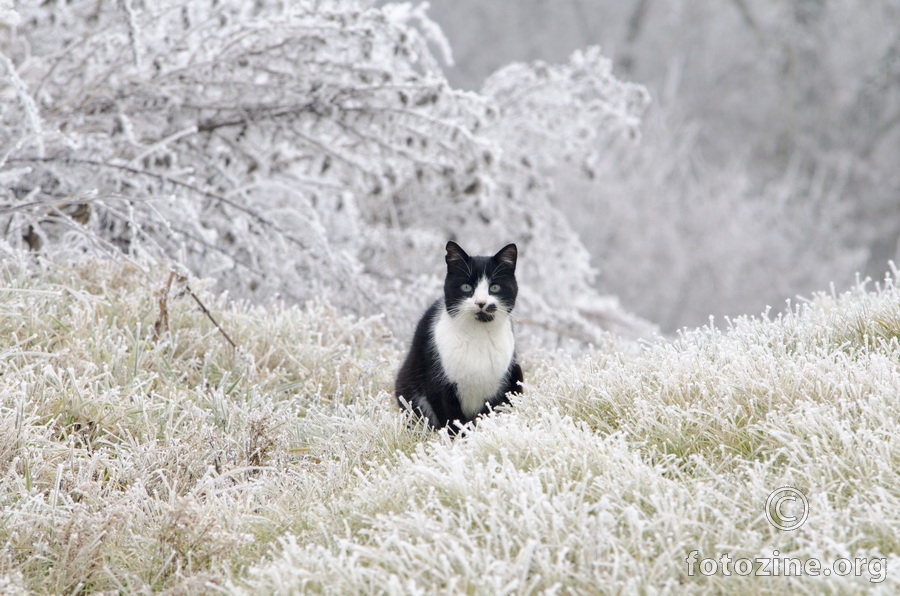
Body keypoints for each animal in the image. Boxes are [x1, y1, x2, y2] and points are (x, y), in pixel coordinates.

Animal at [396, 240, 528, 430]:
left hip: (515, 370)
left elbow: (487, 414)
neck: (479, 335)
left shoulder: (498, 385)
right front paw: (457, 436)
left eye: (495, 287)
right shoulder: (439, 383)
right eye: (466, 287)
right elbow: (451, 419)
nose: (481, 302)